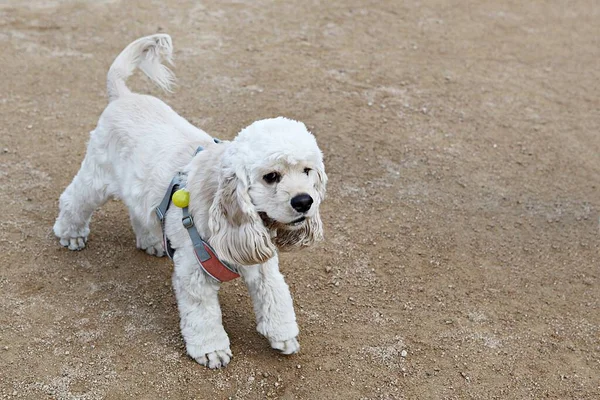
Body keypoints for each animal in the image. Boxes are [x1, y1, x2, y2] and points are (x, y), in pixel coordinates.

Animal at [54, 34, 328, 368]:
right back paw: (71, 234)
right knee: (73, 199)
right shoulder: (194, 272)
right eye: (271, 176)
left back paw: (152, 241)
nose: (304, 202)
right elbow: (203, 315)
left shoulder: (262, 263)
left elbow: (275, 296)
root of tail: (122, 96)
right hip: (95, 178)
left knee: (138, 211)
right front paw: (211, 350)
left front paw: (283, 335)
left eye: (307, 171)